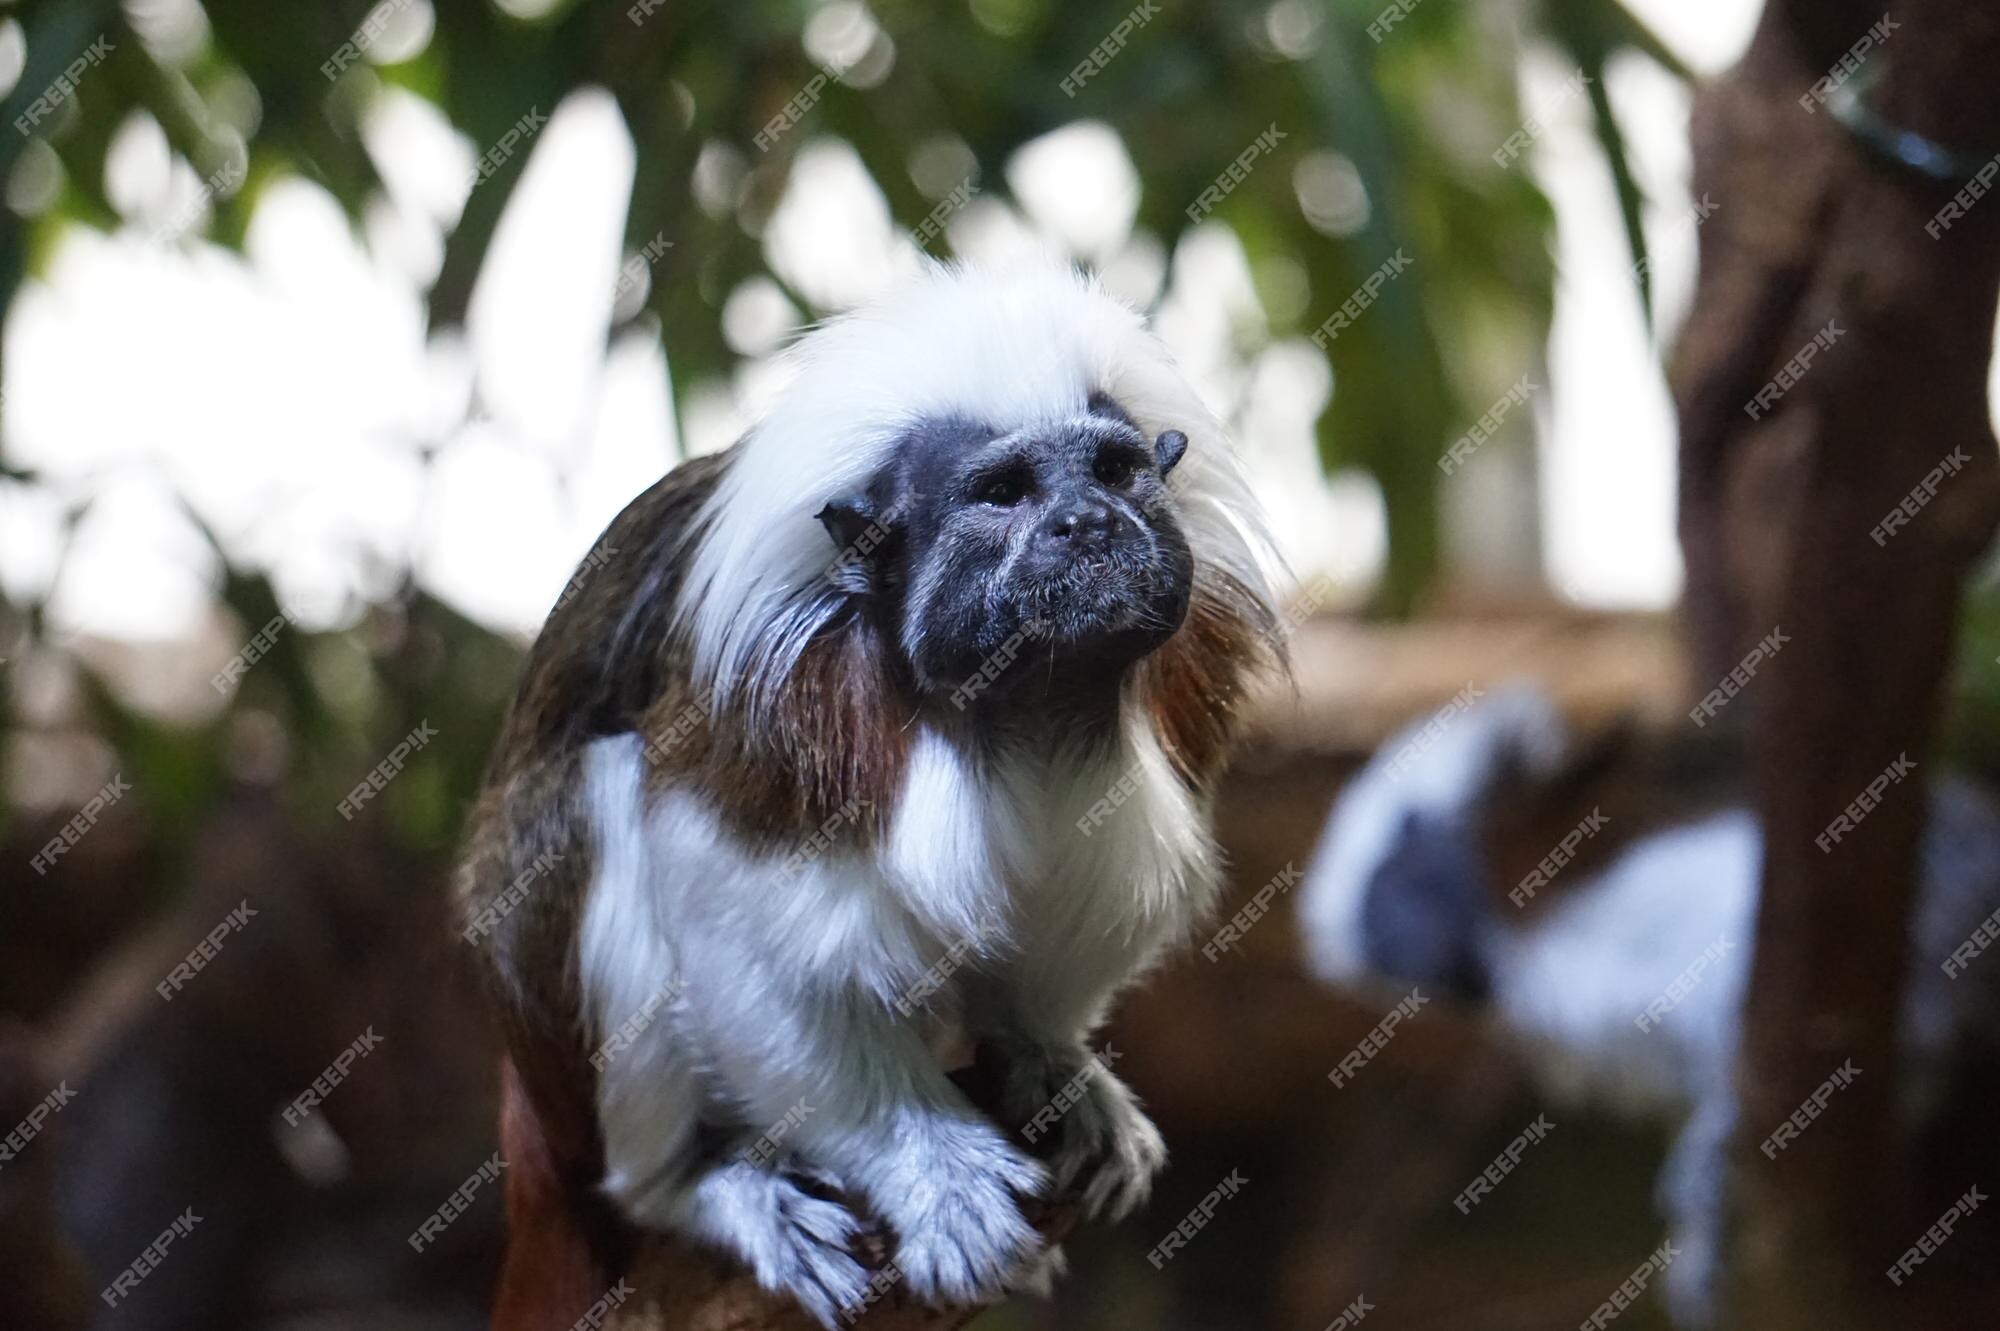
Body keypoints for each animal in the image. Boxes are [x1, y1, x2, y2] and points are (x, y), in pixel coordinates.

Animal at [458, 263, 1280, 1319]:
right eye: (1002, 494)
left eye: (1112, 471)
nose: (1087, 524)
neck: (1024, 712)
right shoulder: (768, 725)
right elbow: (734, 922)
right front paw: (931, 1167)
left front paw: (1050, 1060)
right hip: (564, 1085)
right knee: (602, 795)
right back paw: (701, 1180)